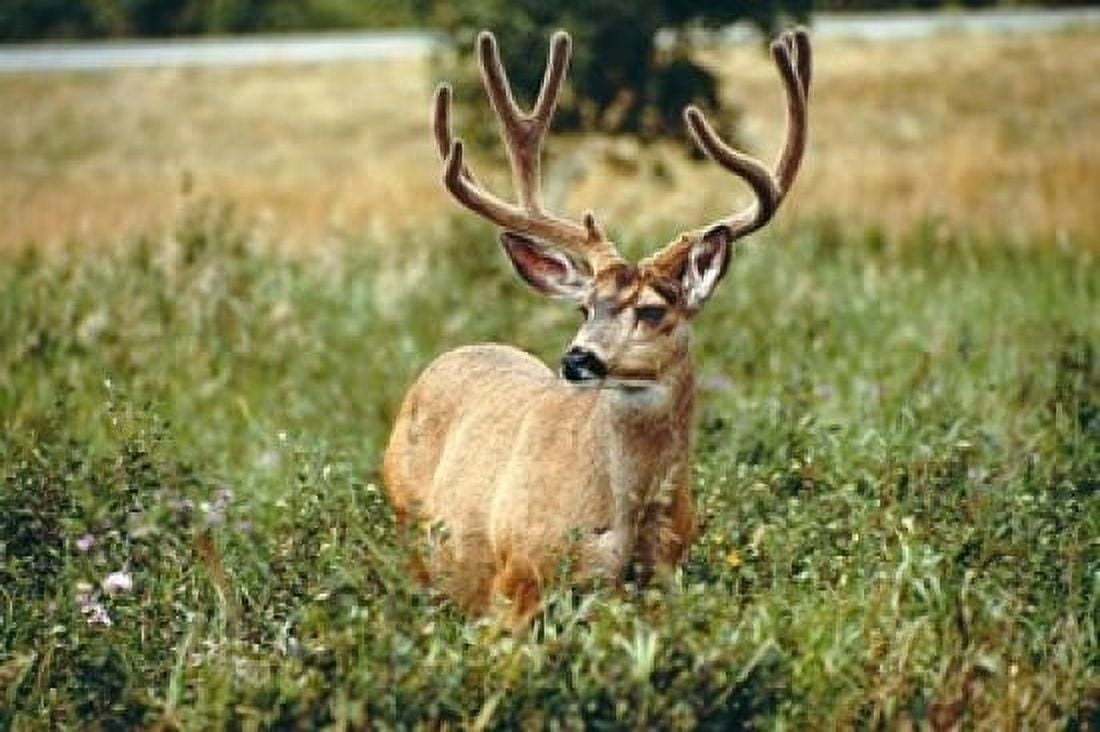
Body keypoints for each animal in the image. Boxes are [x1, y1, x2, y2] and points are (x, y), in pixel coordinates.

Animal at [383, 27, 811, 627]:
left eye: (653, 310)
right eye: (585, 308)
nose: (577, 358)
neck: (624, 524)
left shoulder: (664, 581)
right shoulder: (515, 581)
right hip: (412, 539)